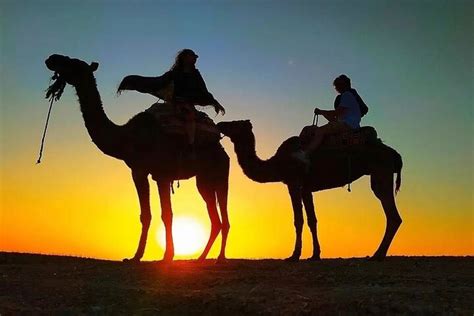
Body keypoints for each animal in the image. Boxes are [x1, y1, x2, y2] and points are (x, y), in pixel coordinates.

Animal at [45, 54, 231, 262]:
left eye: (72, 63)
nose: (51, 58)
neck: (127, 137)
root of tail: (221, 146)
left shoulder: (160, 173)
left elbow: (166, 214)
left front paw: (167, 256)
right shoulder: (140, 171)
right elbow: (146, 214)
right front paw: (136, 256)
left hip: (221, 174)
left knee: (224, 216)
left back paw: (219, 258)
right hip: (204, 180)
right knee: (215, 219)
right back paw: (201, 258)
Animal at [217, 119, 402, 260]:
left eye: (235, 123)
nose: (220, 124)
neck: (277, 163)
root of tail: (395, 154)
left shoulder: (293, 183)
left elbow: (298, 220)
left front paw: (294, 255)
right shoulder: (306, 189)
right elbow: (312, 220)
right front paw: (315, 255)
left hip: (381, 172)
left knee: (392, 214)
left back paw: (377, 255)